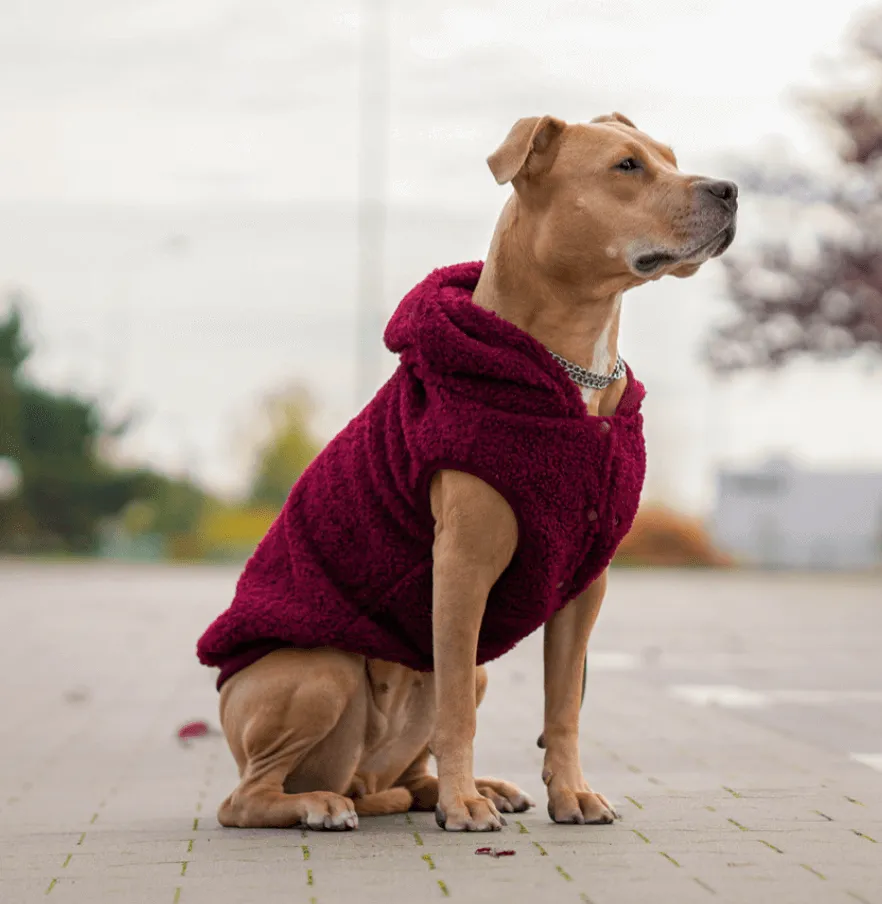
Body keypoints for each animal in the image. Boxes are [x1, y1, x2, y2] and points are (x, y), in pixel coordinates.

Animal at [199, 111, 736, 832]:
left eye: (672, 157)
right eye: (627, 166)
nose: (730, 189)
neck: (576, 371)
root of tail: (360, 778)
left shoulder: (585, 584)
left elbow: (563, 704)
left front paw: (569, 793)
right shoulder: (460, 571)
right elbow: (456, 709)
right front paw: (463, 806)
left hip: (434, 699)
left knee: (404, 772)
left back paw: (460, 789)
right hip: (320, 671)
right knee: (247, 798)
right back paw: (326, 804)